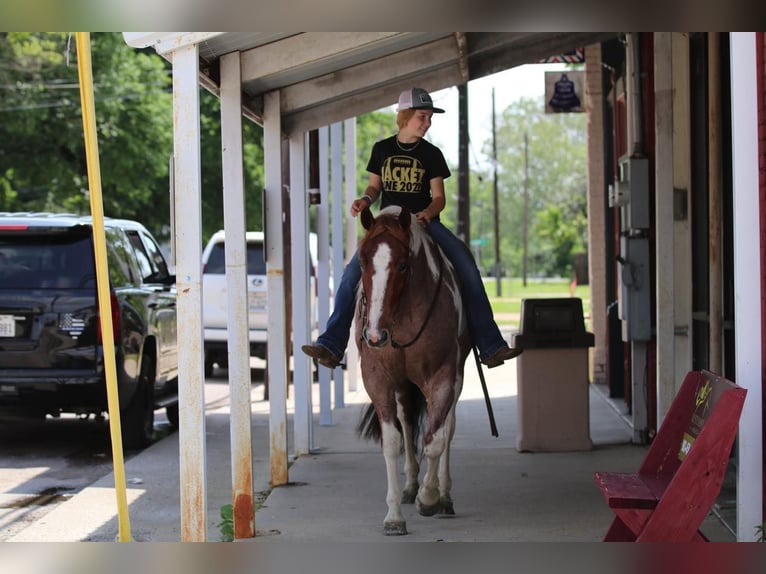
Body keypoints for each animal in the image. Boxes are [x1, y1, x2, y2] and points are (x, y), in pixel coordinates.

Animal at [356, 206, 474, 536]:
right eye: (361, 261)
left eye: (403, 265)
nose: (375, 335)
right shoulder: (378, 380)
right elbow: (392, 441)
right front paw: (394, 515)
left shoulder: (443, 376)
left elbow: (435, 440)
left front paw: (429, 497)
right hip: (403, 387)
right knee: (408, 423)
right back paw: (410, 485)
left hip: (455, 378)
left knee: (447, 427)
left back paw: (443, 497)